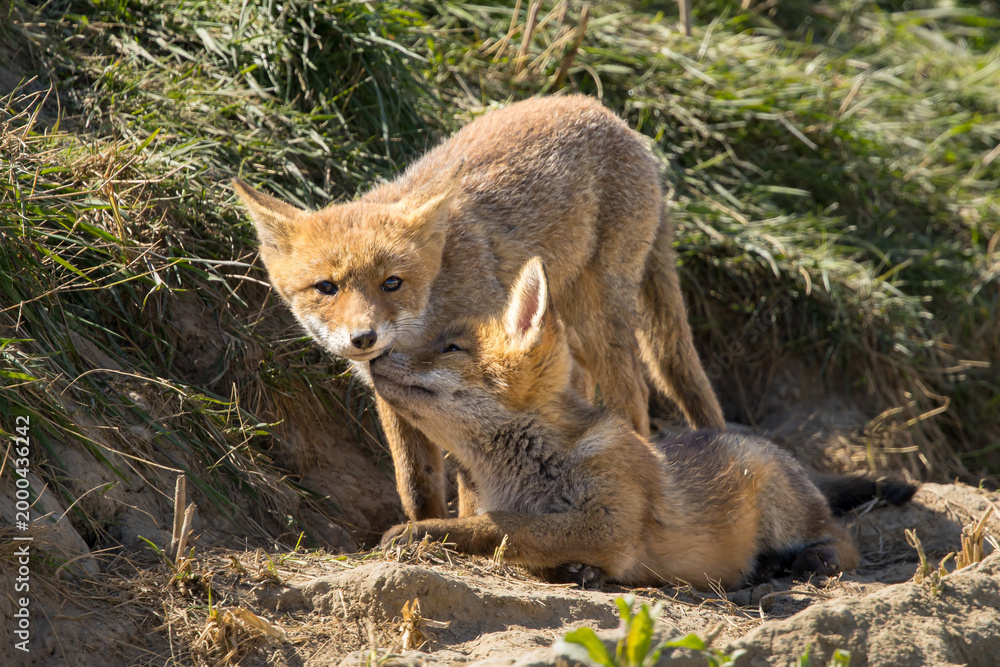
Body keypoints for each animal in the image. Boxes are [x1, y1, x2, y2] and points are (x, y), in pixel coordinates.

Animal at [233, 95, 725, 523]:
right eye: (326, 287)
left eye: (392, 283)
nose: (363, 338)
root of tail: (613, 116)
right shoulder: (389, 390)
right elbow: (415, 484)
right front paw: (423, 532)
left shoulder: (484, 370)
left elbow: (473, 474)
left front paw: (469, 527)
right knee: (579, 382)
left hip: (599, 314)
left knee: (634, 394)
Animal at [371, 257, 917, 589]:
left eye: (451, 347)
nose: (373, 353)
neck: (530, 473)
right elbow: (515, 530)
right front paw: (576, 570)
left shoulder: (610, 519)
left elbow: (499, 525)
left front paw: (421, 531)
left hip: (785, 511)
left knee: (844, 539)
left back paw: (810, 559)